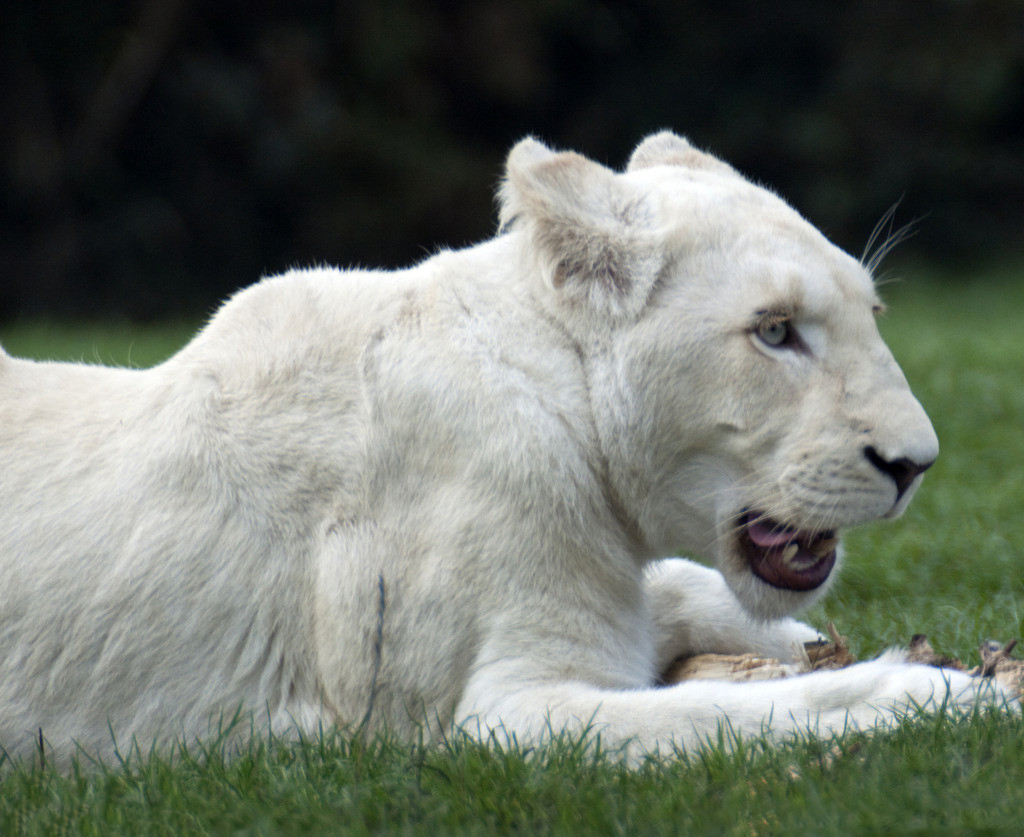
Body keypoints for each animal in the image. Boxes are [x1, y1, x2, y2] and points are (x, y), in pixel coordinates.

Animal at [0, 130, 1007, 762]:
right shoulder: (505, 717)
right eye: (774, 331)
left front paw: (882, 649)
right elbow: (732, 707)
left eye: (869, 314)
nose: (916, 465)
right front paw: (947, 696)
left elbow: (699, 592)